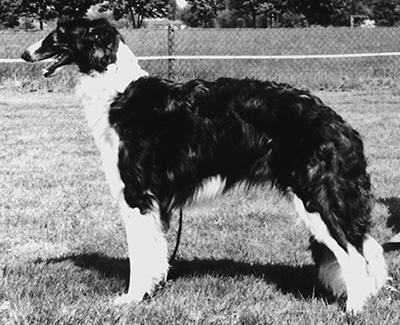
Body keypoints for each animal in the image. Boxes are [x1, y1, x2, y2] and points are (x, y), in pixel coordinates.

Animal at [22, 18, 388, 312]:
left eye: (59, 33)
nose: (25, 54)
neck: (118, 92)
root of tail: (339, 124)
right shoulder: (154, 205)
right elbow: (156, 255)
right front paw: (151, 291)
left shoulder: (137, 196)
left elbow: (138, 257)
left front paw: (131, 299)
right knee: (363, 250)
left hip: (317, 200)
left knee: (355, 256)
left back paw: (353, 310)